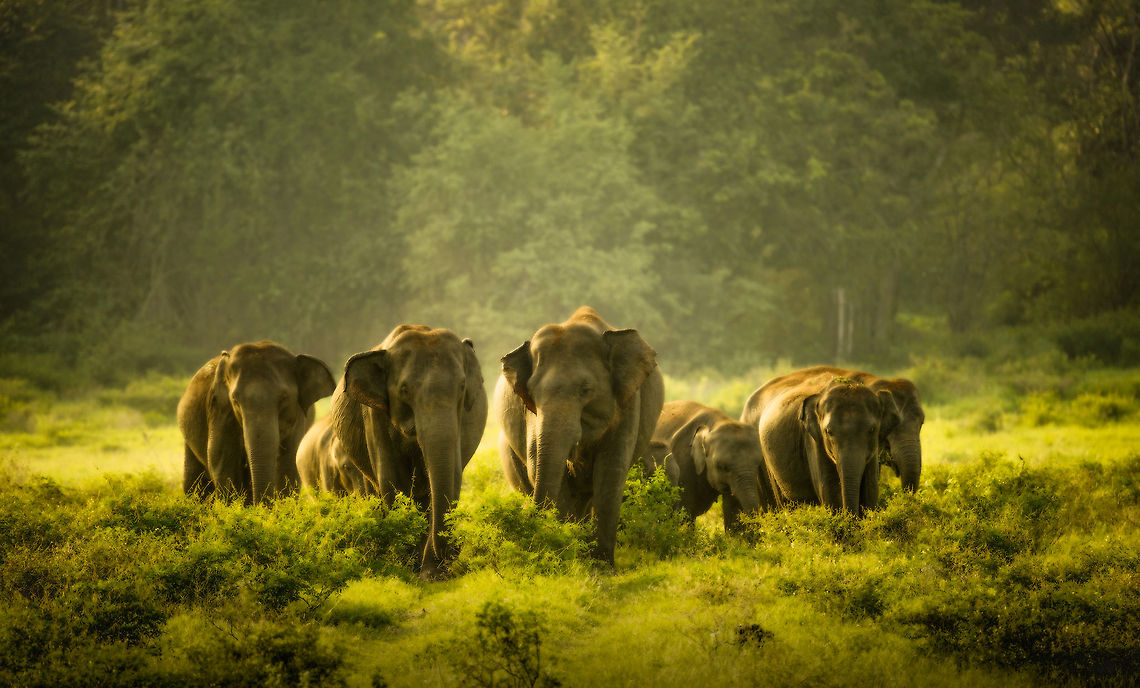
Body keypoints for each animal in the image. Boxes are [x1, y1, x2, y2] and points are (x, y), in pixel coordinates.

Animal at [177, 340, 336, 505]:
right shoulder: (220, 409)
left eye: (284, 398)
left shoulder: (297, 416)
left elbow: (290, 459)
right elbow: (220, 456)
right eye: (235, 399)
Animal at [330, 325, 487, 580]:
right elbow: (392, 481)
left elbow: (452, 476)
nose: (455, 550)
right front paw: (404, 570)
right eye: (404, 389)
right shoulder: (374, 416)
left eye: (462, 387)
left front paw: (431, 575)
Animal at [496, 306, 664, 565]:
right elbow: (542, 465)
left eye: (585, 390)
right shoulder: (531, 413)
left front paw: (600, 565)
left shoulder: (628, 401)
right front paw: (568, 553)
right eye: (532, 392)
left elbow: (610, 469)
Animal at [645, 400, 778, 532]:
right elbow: (686, 511)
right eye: (723, 467)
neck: (715, 423)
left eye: (757, 465)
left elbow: (733, 513)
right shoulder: (682, 461)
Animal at [740, 373, 900, 517]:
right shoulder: (814, 443)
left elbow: (870, 491)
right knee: (778, 505)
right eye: (828, 431)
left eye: (872, 430)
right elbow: (830, 493)